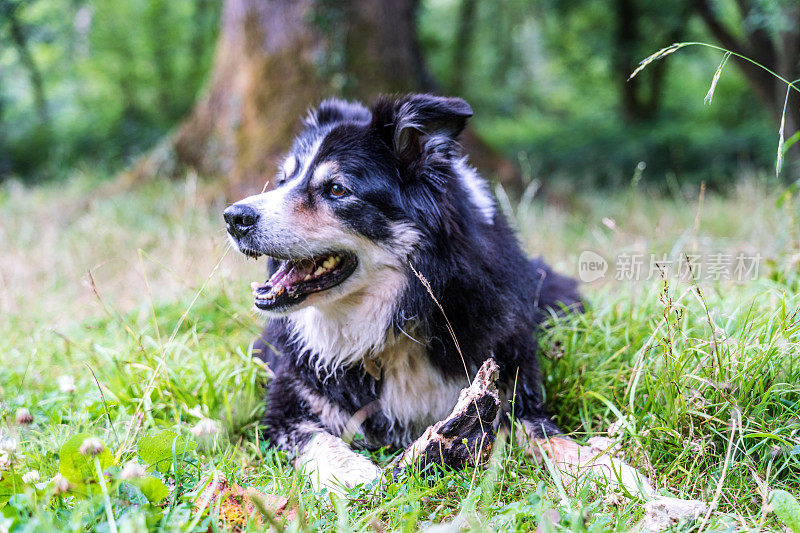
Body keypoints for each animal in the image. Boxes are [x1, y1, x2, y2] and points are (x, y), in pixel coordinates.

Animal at [222, 92, 648, 494]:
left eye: (337, 189)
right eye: (283, 180)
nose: (234, 218)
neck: (396, 320)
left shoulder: (510, 390)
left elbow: (552, 437)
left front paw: (615, 474)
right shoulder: (287, 404)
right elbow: (318, 439)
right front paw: (352, 474)